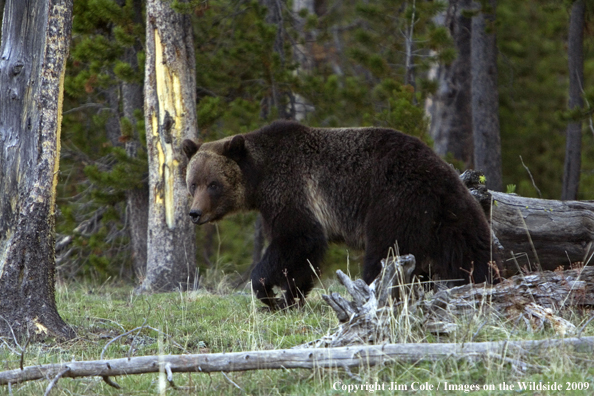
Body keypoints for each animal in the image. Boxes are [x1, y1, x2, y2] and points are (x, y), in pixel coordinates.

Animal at [184, 121, 494, 310]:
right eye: (193, 183)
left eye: (214, 184)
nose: (194, 213)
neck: (259, 177)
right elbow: (303, 258)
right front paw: (290, 297)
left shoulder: (290, 189)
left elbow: (296, 239)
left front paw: (268, 293)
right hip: (454, 214)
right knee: (471, 251)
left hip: (394, 202)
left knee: (383, 255)